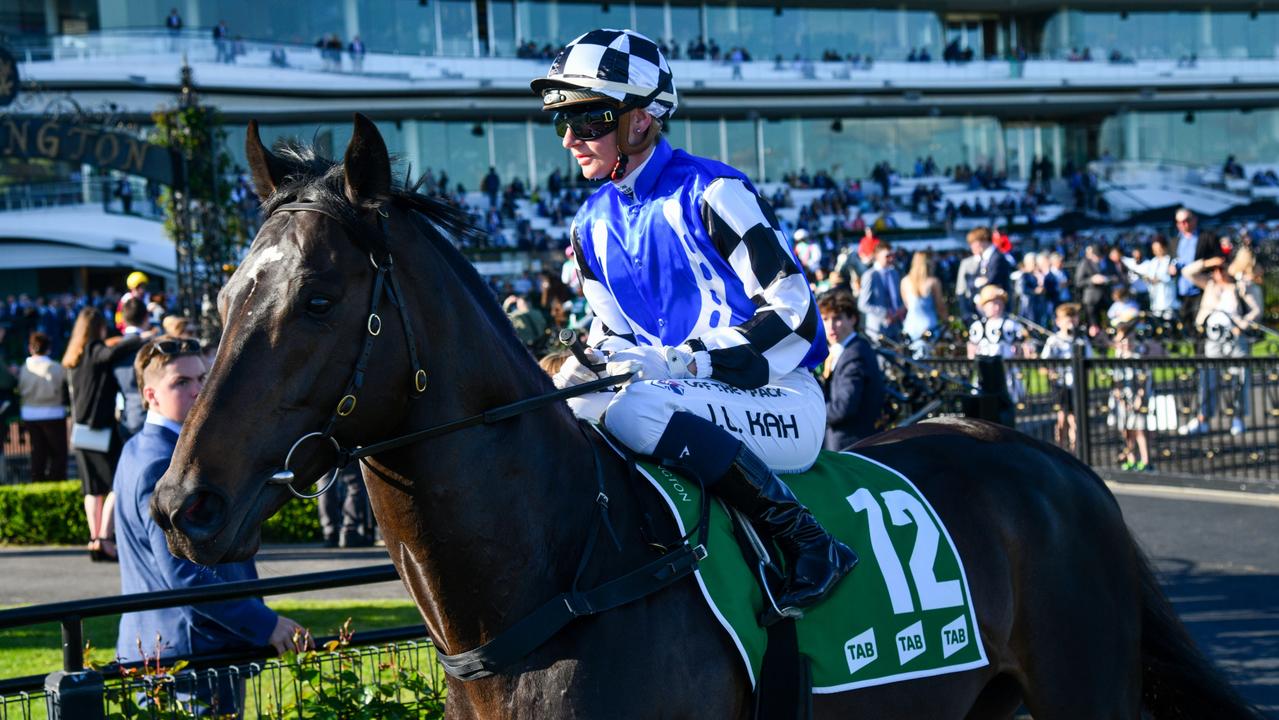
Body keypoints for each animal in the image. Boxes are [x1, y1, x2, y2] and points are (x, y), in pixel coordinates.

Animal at [152, 117, 1258, 720]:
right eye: (224, 297)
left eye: (319, 301)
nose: (181, 504)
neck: (561, 576)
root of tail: (1061, 470)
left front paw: (638, 363)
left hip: (1081, 690)